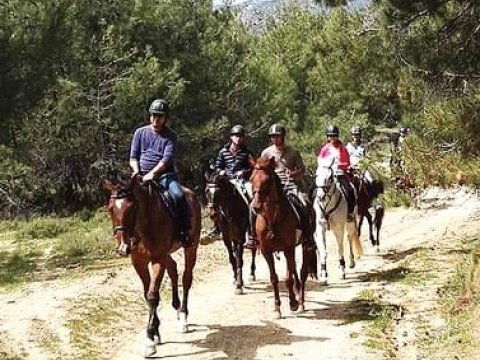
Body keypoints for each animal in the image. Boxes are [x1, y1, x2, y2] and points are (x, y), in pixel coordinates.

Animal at [103, 174, 201, 358]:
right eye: (110, 208)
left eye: (132, 208)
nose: (122, 248)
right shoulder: (139, 262)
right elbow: (146, 294)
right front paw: (156, 333)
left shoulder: (157, 260)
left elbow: (152, 296)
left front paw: (149, 340)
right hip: (167, 254)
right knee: (173, 269)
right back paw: (177, 309)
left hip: (191, 247)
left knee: (186, 278)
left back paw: (183, 318)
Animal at [249, 156, 316, 320]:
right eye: (251, 178)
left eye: (267, 180)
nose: (256, 207)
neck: (273, 218)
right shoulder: (266, 251)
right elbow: (274, 278)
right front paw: (277, 308)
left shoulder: (288, 248)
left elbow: (288, 278)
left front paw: (293, 304)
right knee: (294, 271)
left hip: (304, 246)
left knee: (302, 272)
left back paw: (301, 302)